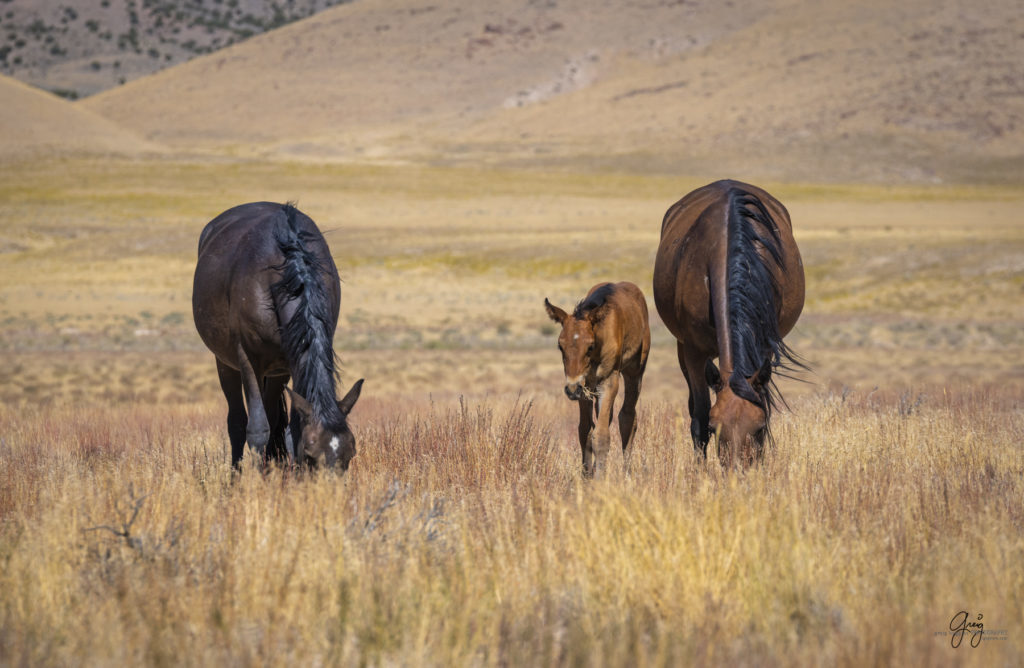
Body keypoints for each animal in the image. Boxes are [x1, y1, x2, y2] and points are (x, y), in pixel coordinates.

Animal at [192, 201, 364, 469]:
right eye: (311, 453)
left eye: (350, 453)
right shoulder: (248, 359)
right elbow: (256, 428)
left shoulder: (290, 362)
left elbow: (291, 426)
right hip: (225, 363)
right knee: (237, 422)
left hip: (276, 371)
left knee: (273, 419)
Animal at [544, 282, 647, 479]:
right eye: (560, 346)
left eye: (590, 346)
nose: (570, 389)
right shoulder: (584, 388)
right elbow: (585, 430)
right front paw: (586, 476)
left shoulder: (608, 382)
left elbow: (601, 435)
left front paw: (599, 479)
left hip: (635, 372)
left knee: (628, 417)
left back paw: (626, 473)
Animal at [651, 180, 802, 467]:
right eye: (715, 428)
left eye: (759, 429)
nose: (737, 471)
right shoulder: (694, 352)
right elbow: (699, 415)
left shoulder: (764, 346)